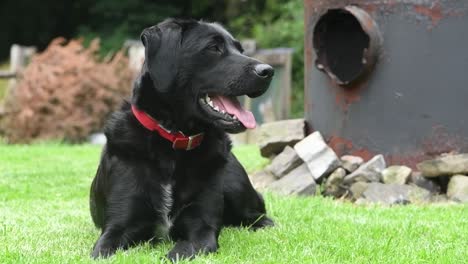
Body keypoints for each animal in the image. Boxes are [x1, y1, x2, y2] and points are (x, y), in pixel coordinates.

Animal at [88, 19, 274, 262]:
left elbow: (182, 250)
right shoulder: (116, 227)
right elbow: (103, 249)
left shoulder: (202, 228)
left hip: (235, 185)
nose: (268, 71)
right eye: (213, 48)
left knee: (257, 214)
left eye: (240, 50)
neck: (173, 142)